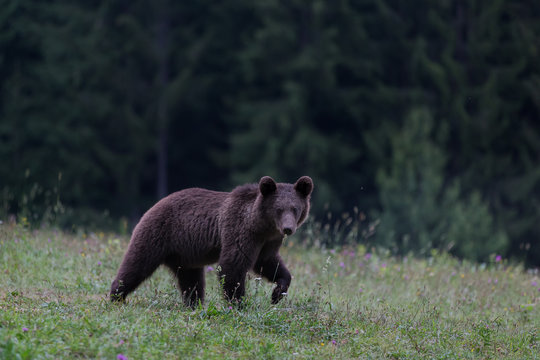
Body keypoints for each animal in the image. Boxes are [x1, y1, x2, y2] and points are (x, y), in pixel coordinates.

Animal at [109, 174, 312, 306]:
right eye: (278, 209)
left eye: (295, 208)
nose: (288, 228)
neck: (261, 225)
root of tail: (154, 205)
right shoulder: (240, 231)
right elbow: (232, 266)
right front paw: (238, 303)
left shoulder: (268, 241)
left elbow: (269, 263)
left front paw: (277, 293)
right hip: (158, 234)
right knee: (136, 265)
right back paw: (116, 296)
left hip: (185, 254)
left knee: (191, 281)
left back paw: (194, 304)